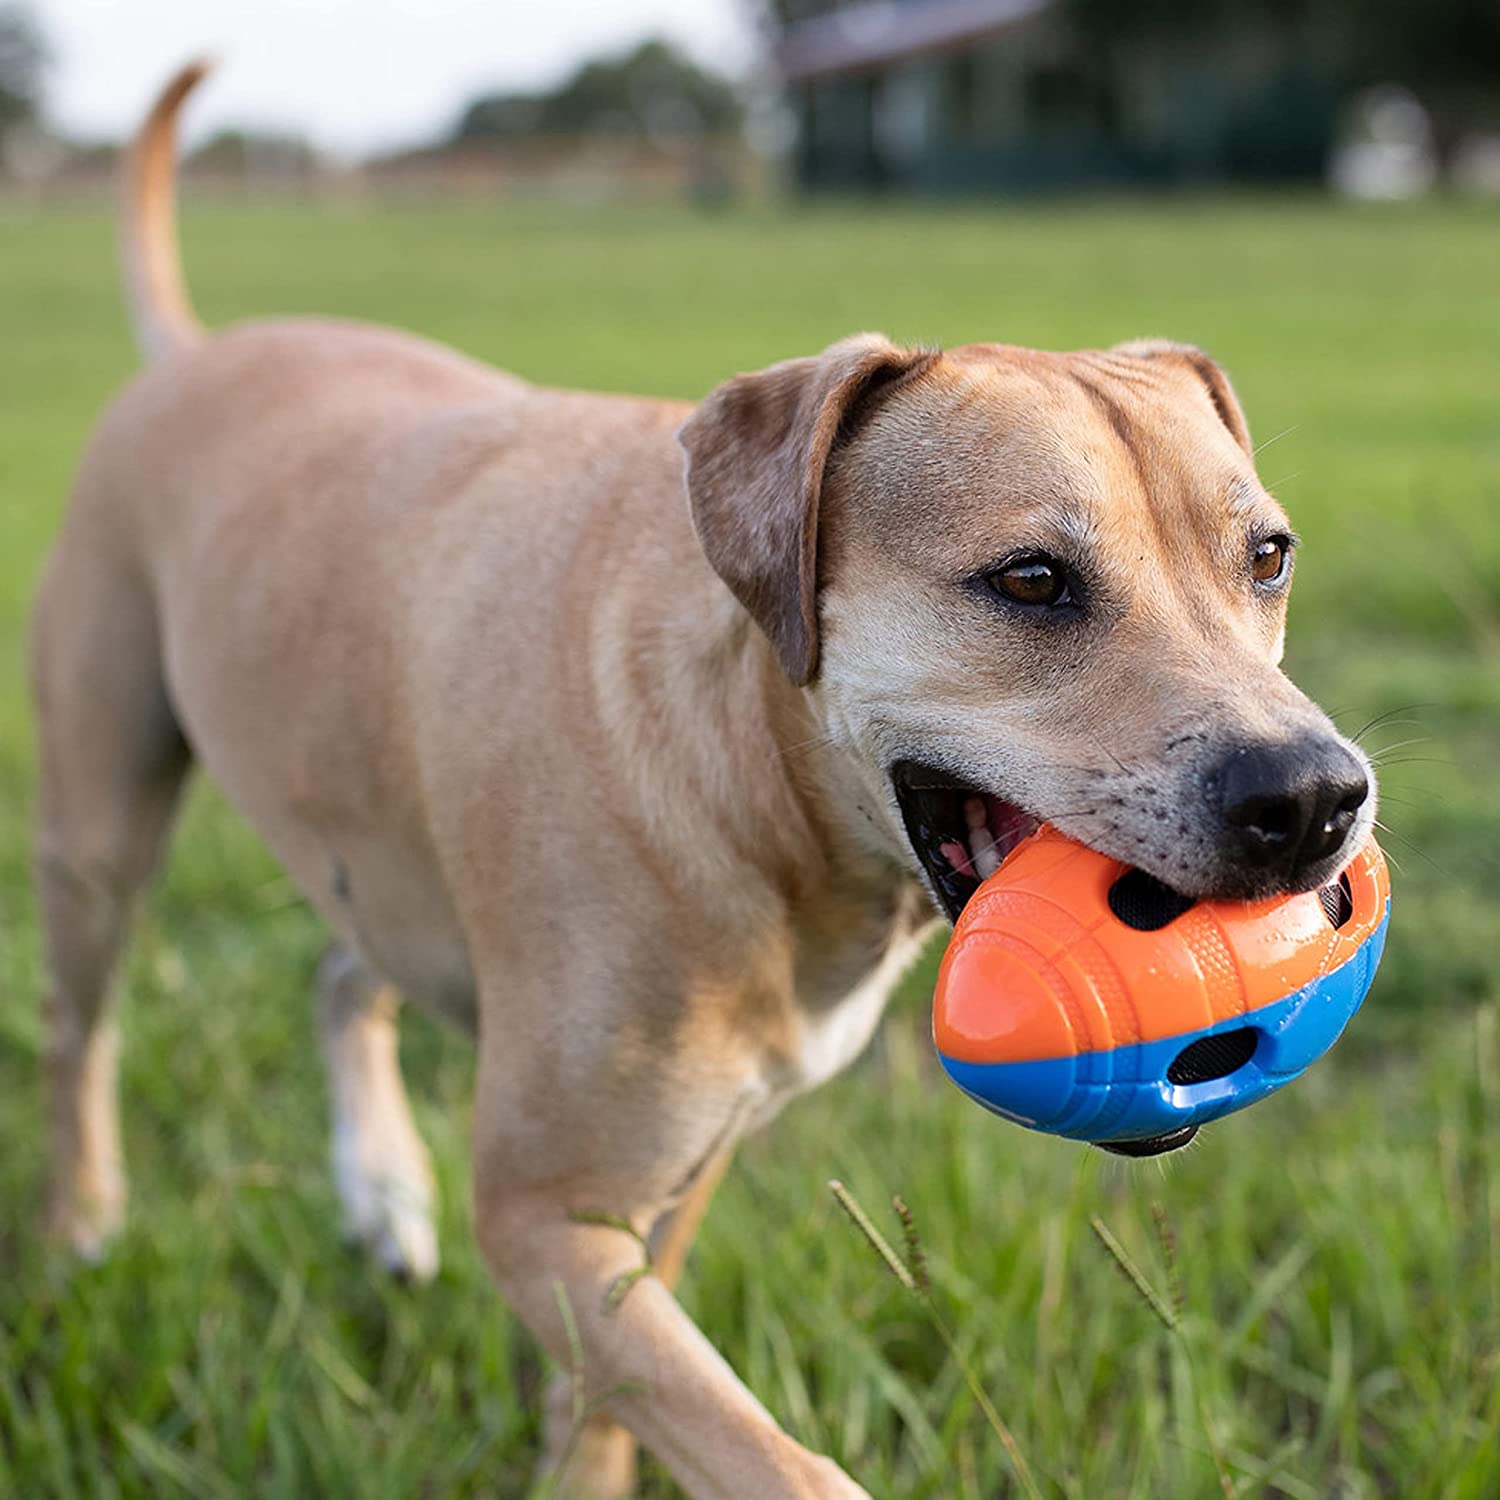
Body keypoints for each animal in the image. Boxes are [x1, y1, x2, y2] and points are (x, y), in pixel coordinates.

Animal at [32, 67, 1374, 1500]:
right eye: (1029, 580)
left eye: (1270, 556)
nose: (1315, 800)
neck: (764, 787)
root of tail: (193, 353)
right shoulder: (546, 1213)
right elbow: (770, 1459)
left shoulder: (668, 1187)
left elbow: (616, 1402)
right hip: (100, 830)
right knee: (80, 1031)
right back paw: (82, 1222)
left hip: (377, 844)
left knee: (348, 966)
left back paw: (381, 1191)